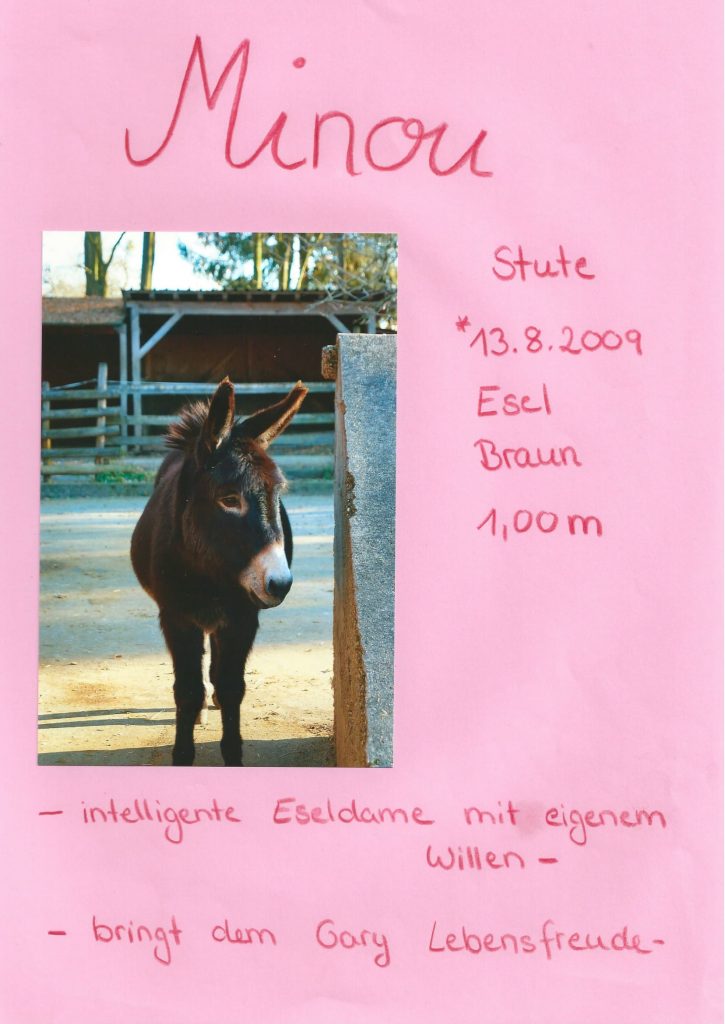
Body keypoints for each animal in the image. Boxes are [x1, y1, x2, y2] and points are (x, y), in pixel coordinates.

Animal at [130, 377, 308, 766]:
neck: (209, 574)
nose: (280, 584)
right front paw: (183, 755)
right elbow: (186, 690)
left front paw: (233, 754)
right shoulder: (176, 617)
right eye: (229, 499)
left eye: (278, 494)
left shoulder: (243, 617)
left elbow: (231, 689)